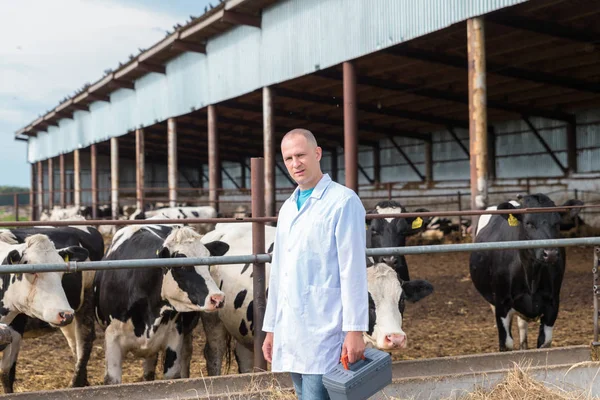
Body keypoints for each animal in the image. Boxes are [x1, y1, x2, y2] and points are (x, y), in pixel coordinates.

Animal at [0, 225, 104, 388]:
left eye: (62, 270)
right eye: (31, 271)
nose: (64, 313)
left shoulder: (15, 328)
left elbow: (6, 374)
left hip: (86, 300)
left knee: (84, 340)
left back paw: (76, 383)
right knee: (74, 342)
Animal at [95, 225, 229, 384]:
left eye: (208, 263)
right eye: (181, 266)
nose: (218, 298)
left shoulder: (175, 336)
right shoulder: (112, 338)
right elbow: (112, 380)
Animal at [472, 195, 584, 352]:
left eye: (557, 223)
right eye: (528, 223)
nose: (550, 253)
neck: (532, 276)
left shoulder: (553, 303)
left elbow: (544, 342)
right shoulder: (501, 303)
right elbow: (506, 344)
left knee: (522, 325)